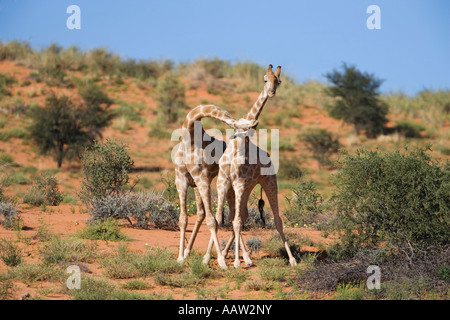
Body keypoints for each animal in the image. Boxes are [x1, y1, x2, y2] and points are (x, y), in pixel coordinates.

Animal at [173, 102, 256, 268]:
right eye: (242, 135)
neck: (190, 136)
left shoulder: (202, 178)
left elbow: (212, 221)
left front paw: (222, 262)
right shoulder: (181, 180)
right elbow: (183, 219)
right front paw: (180, 258)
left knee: (237, 215)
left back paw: (244, 258)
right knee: (223, 215)